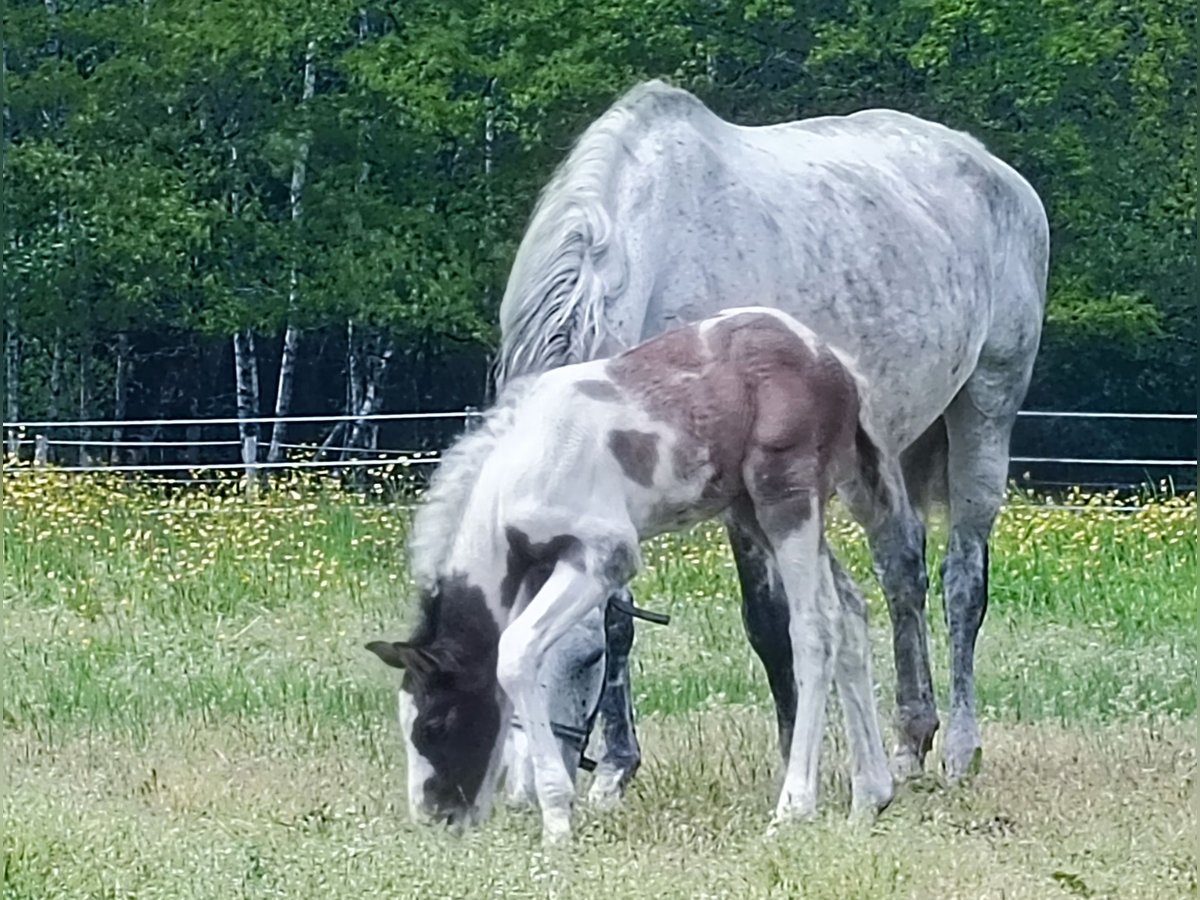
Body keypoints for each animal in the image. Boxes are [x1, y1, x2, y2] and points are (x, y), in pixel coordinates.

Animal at [364, 309, 907, 844]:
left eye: (434, 723)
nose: (434, 816)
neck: (525, 466)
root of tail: (833, 361)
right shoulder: (539, 572)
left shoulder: (605, 555)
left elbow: (515, 652)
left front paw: (557, 823)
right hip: (751, 510)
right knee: (851, 614)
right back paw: (870, 797)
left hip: (786, 499)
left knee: (815, 630)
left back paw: (793, 808)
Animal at [492, 79, 1046, 801]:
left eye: (583, 659)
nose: (534, 789)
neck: (660, 251)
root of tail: (998, 174)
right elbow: (620, 614)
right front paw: (616, 766)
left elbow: (766, 620)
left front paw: (792, 759)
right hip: (884, 447)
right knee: (902, 569)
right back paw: (908, 743)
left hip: (984, 416)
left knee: (962, 584)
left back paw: (957, 748)